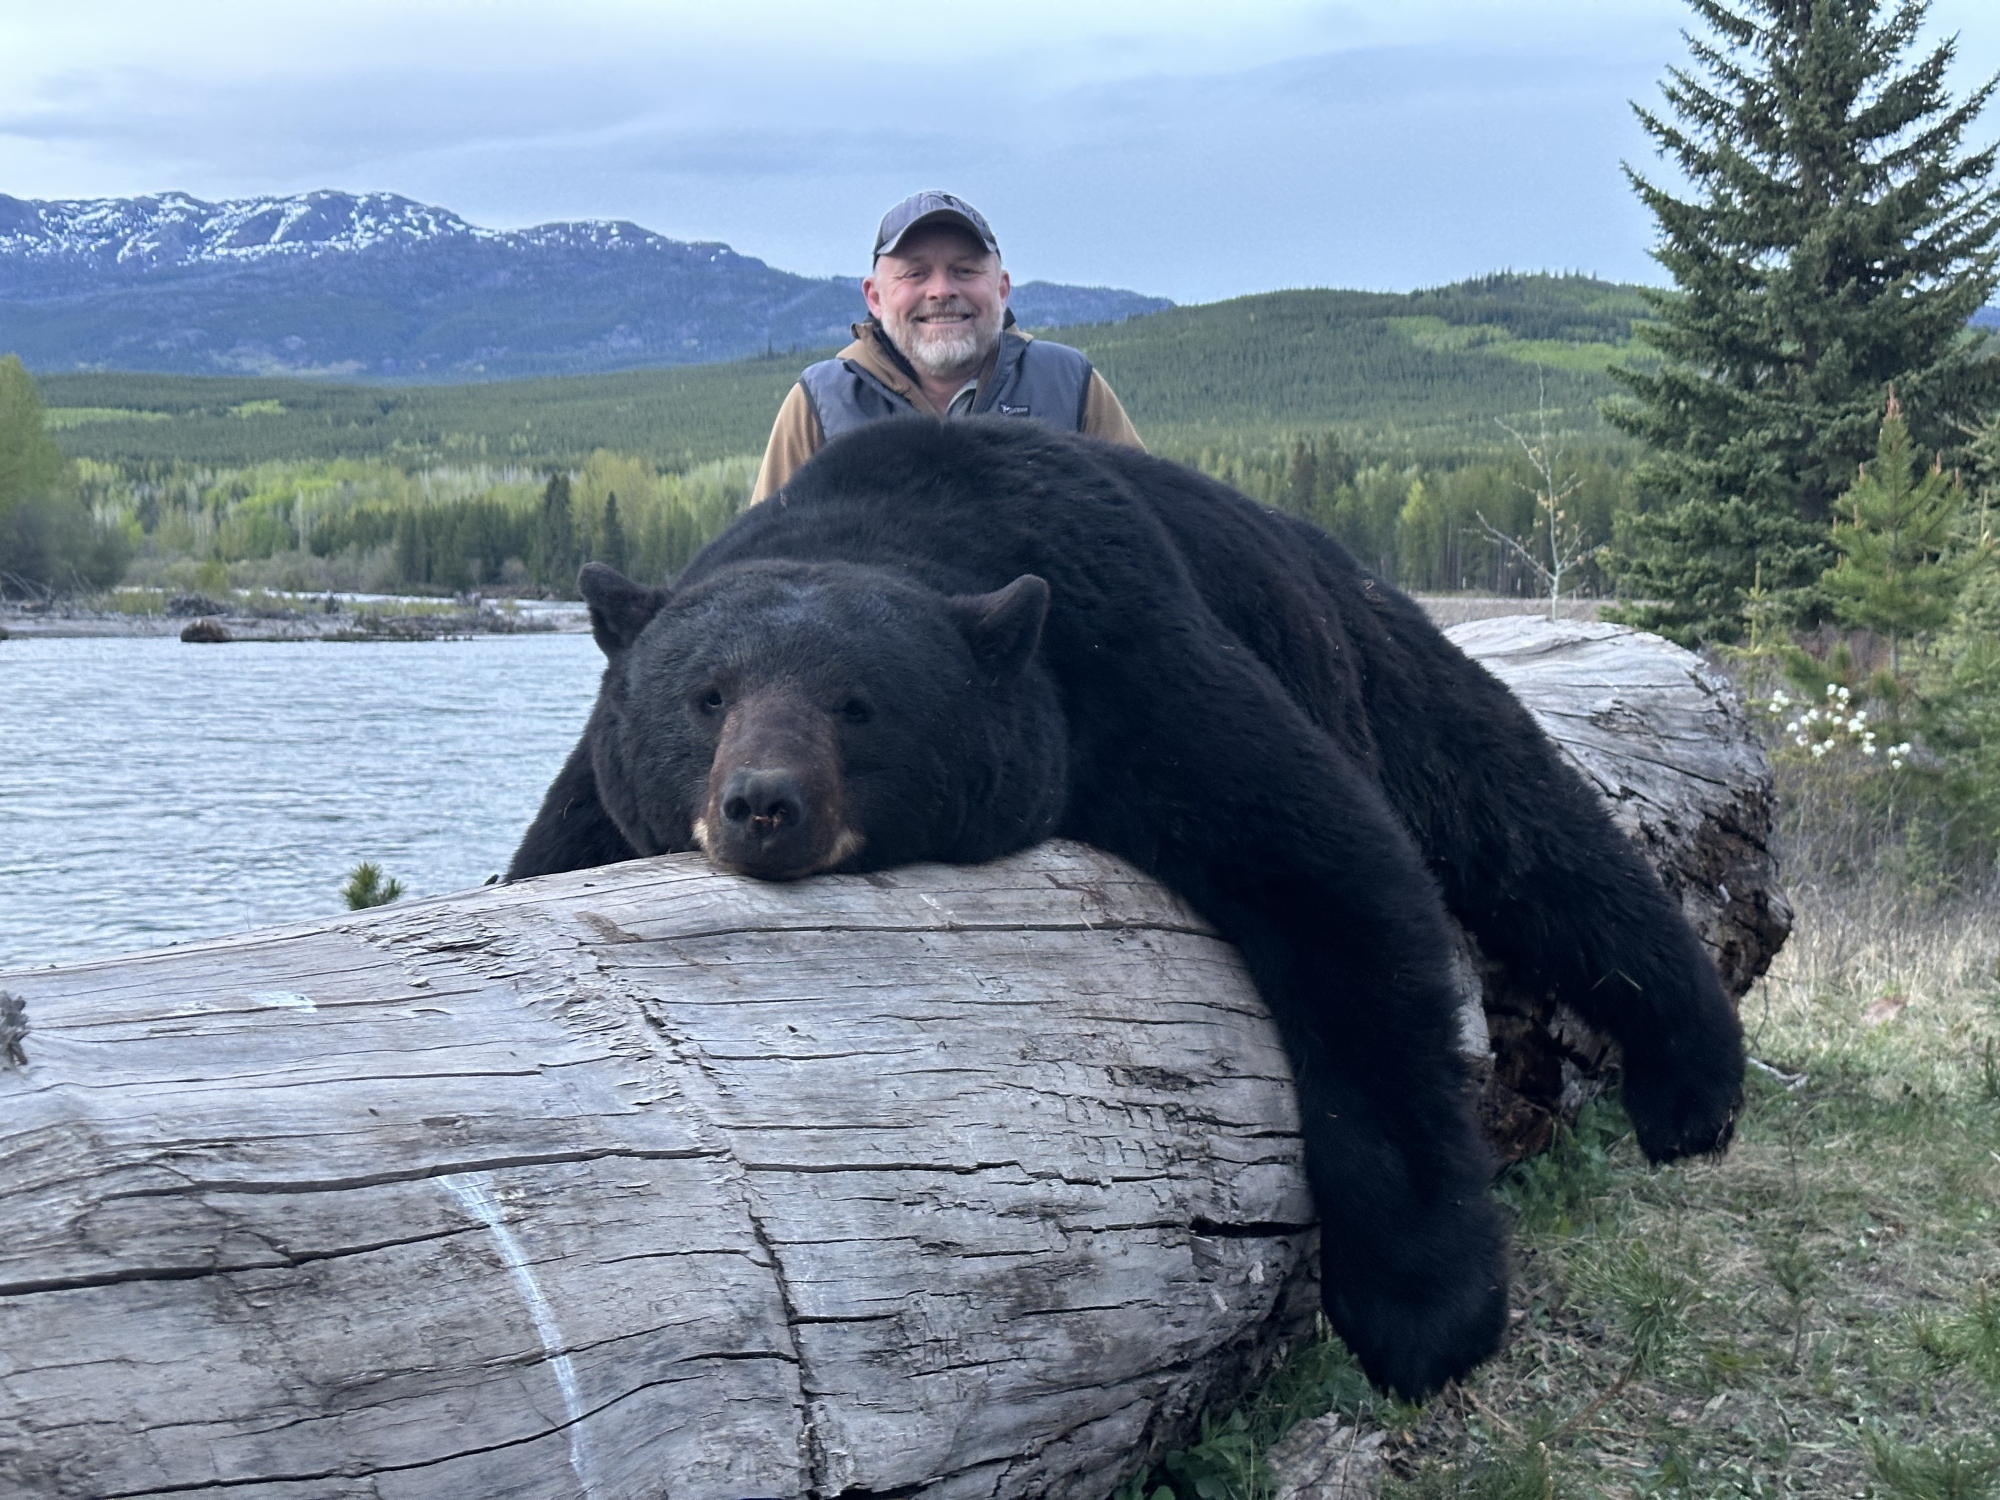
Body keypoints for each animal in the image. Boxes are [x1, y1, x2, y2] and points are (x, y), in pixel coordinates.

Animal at [508, 415, 1745, 1399]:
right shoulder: (594, 801)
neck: (895, 514)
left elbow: (1345, 889)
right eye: (706, 696)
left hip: (1376, 654)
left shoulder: (1129, 651)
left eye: (858, 706)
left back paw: (1692, 1086)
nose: (763, 803)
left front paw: (1425, 1312)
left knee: (1530, 826)